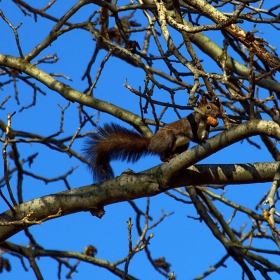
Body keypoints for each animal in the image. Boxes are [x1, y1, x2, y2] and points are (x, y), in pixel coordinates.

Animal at [83, 96, 221, 183]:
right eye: (208, 107)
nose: (218, 113)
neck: (203, 120)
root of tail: (152, 143)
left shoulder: (205, 129)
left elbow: (205, 135)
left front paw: (206, 138)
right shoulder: (189, 126)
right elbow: (192, 135)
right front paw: (199, 141)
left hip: (182, 145)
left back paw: (176, 155)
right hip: (168, 139)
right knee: (161, 155)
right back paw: (167, 158)